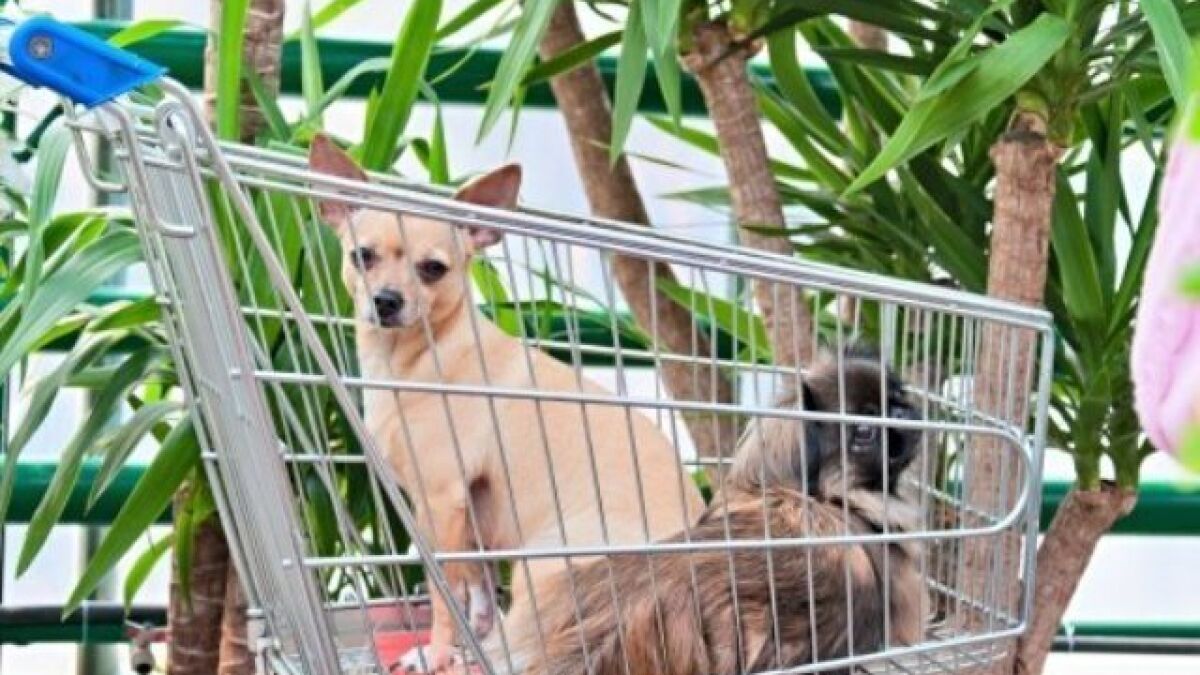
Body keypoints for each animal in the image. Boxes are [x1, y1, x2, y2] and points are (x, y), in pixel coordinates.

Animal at [304, 135, 705, 667]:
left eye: (433, 269)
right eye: (361, 256)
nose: (386, 301)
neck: (419, 355)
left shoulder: (441, 501)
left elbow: (444, 593)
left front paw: (436, 653)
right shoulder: (465, 512)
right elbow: (475, 584)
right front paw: (468, 634)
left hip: (545, 565)